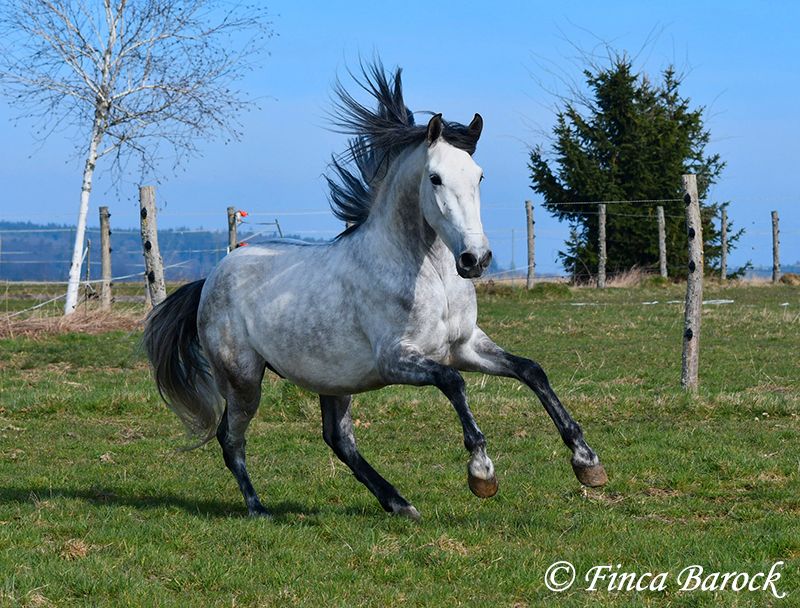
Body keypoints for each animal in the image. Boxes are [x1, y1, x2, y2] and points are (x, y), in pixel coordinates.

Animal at [145, 63, 608, 524]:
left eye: (479, 176)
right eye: (435, 178)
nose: (475, 259)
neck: (431, 278)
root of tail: (211, 279)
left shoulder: (465, 346)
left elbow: (532, 371)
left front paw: (587, 463)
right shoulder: (397, 358)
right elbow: (453, 382)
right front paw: (482, 474)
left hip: (332, 379)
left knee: (338, 439)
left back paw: (400, 503)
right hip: (243, 379)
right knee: (230, 438)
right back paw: (259, 508)